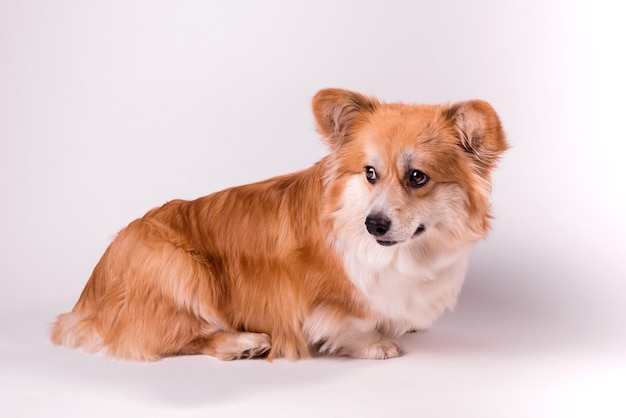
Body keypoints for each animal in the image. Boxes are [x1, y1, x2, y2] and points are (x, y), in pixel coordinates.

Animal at [50, 87, 508, 360]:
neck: (410, 253)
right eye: (370, 173)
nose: (373, 224)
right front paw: (377, 344)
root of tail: (84, 305)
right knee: (179, 337)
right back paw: (246, 342)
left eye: (417, 177)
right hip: (179, 266)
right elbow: (352, 322)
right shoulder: (327, 295)